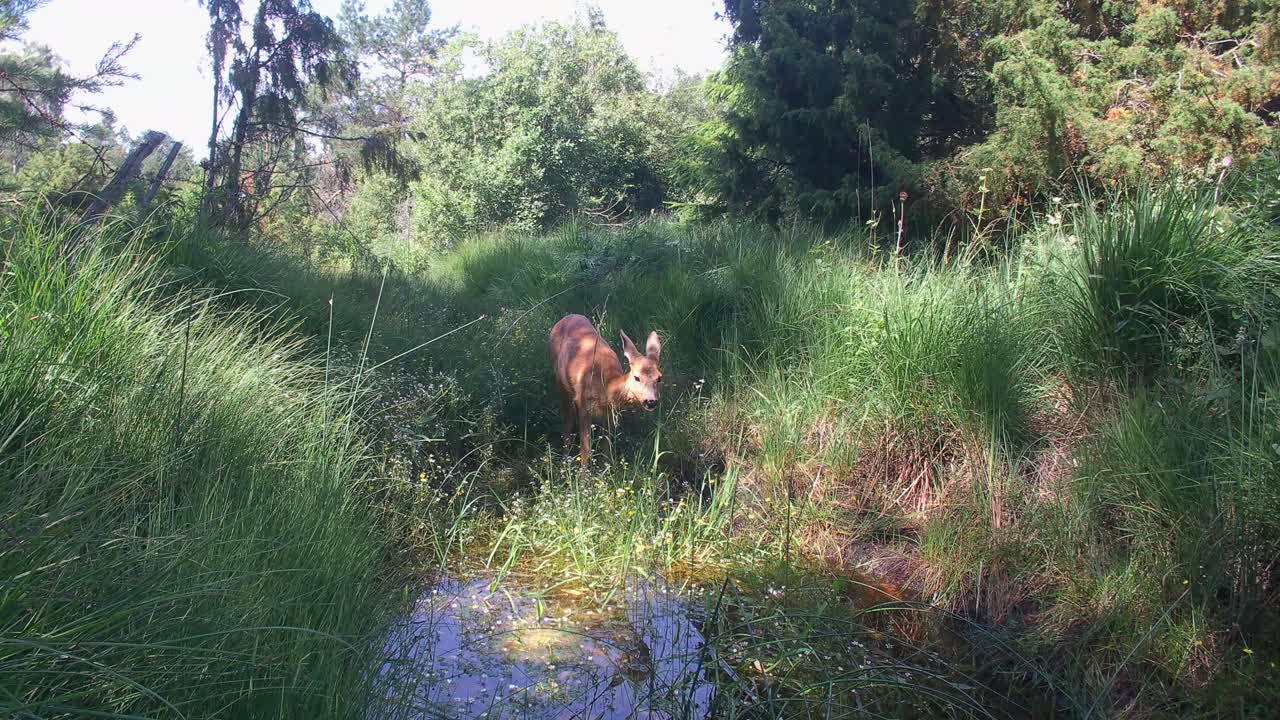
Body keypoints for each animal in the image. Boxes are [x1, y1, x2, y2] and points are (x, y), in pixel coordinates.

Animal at [549, 314, 662, 467]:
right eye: (636, 377)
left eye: (659, 378)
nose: (651, 401)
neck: (605, 387)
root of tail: (567, 317)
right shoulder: (583, 403)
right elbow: (585, 449)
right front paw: (583, 474)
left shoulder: (611, 411)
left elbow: (606, 446)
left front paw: (605, 470)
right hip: (561, 383)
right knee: (566, 422)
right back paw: (565, 461)